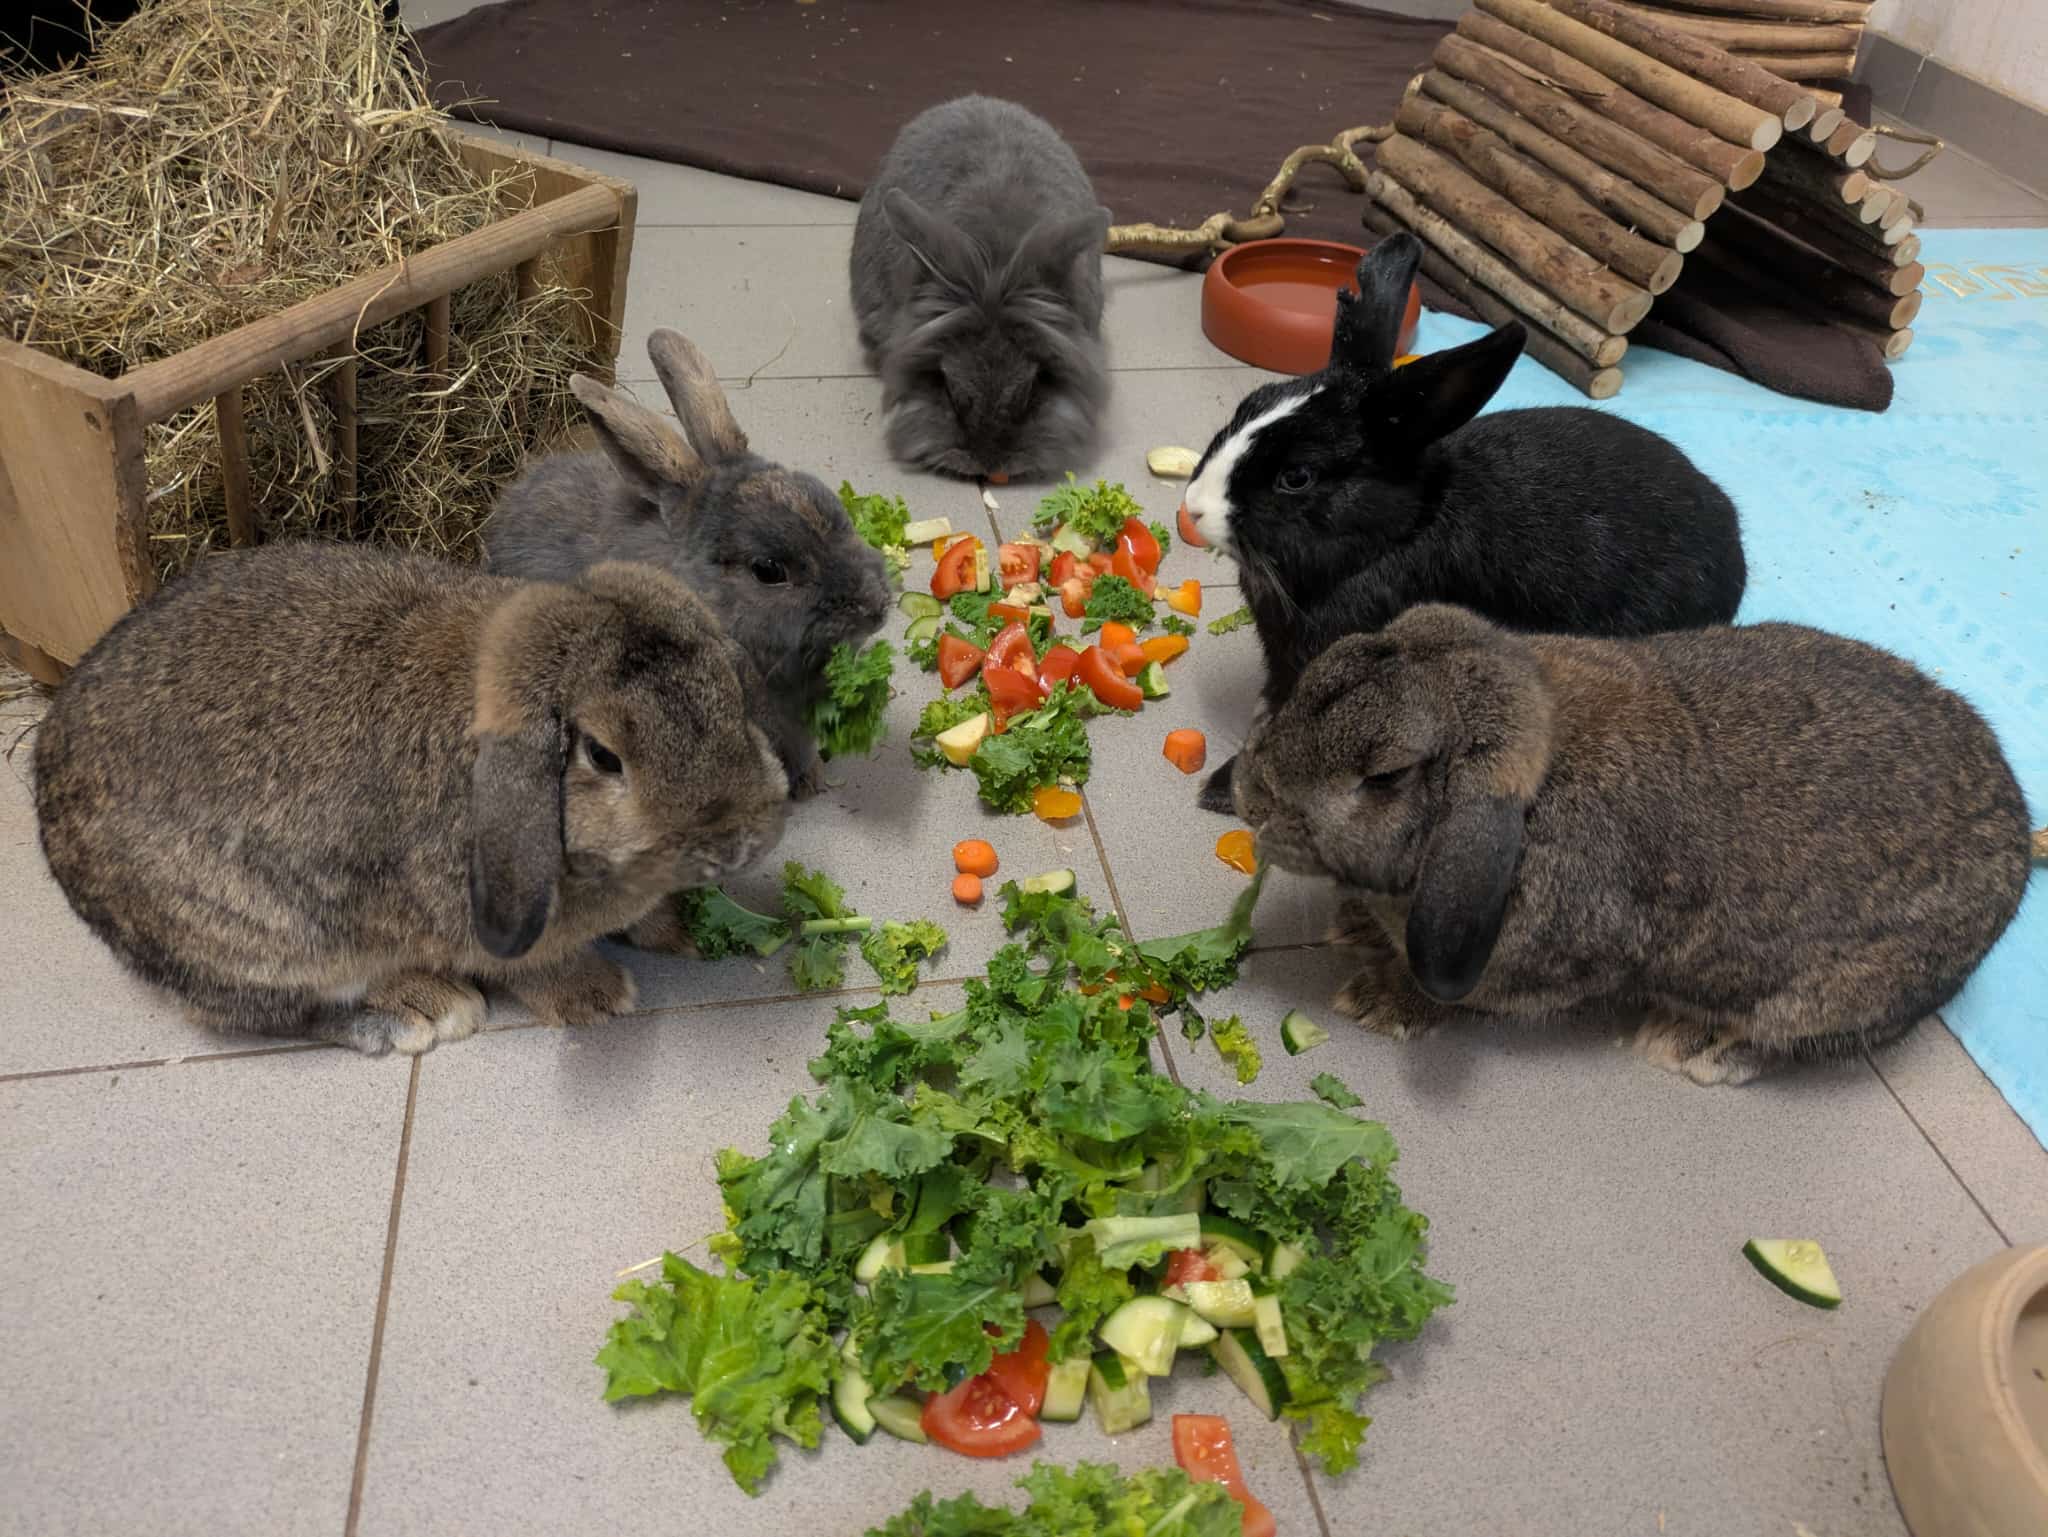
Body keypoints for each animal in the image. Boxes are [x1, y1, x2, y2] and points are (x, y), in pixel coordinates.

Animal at [33, 543, 791, 1057]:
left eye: (732, 692)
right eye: (603, 755)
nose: (741, 838)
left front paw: (687, 925)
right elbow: (535, 965)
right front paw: (598, 998)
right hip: (259, 936)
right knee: (280, 1009)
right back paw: (425, 1011)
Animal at [1181, 230, 1747, 815]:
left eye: (1297, 476)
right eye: (1251, 404)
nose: (1194, 505)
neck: (1396, 532)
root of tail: (1734, 545)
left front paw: (1226, 788)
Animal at [1232, 603, 2035, 1085]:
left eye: (1385, 776)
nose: (1248, 793)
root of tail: (2019, 839)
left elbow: (1459, 997)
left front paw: (1381, 1001)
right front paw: (1356, 928)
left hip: (1833, 1000)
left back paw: (1696, 1045)